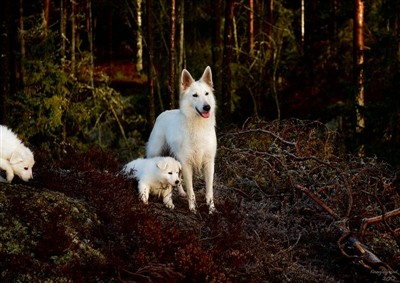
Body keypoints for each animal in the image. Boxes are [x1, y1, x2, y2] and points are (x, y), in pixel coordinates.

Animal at [146, 65, 217, 214]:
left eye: (207, 94)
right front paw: (192, 208)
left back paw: (181, 192)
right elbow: (191, 190)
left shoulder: (208, 163)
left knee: (177, 178)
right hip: (156, 153)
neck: (198, 127)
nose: (207, 107)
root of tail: (164, 112)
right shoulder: (187, 163)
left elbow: (209, 190)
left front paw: (212, 208)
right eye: (195, 95)